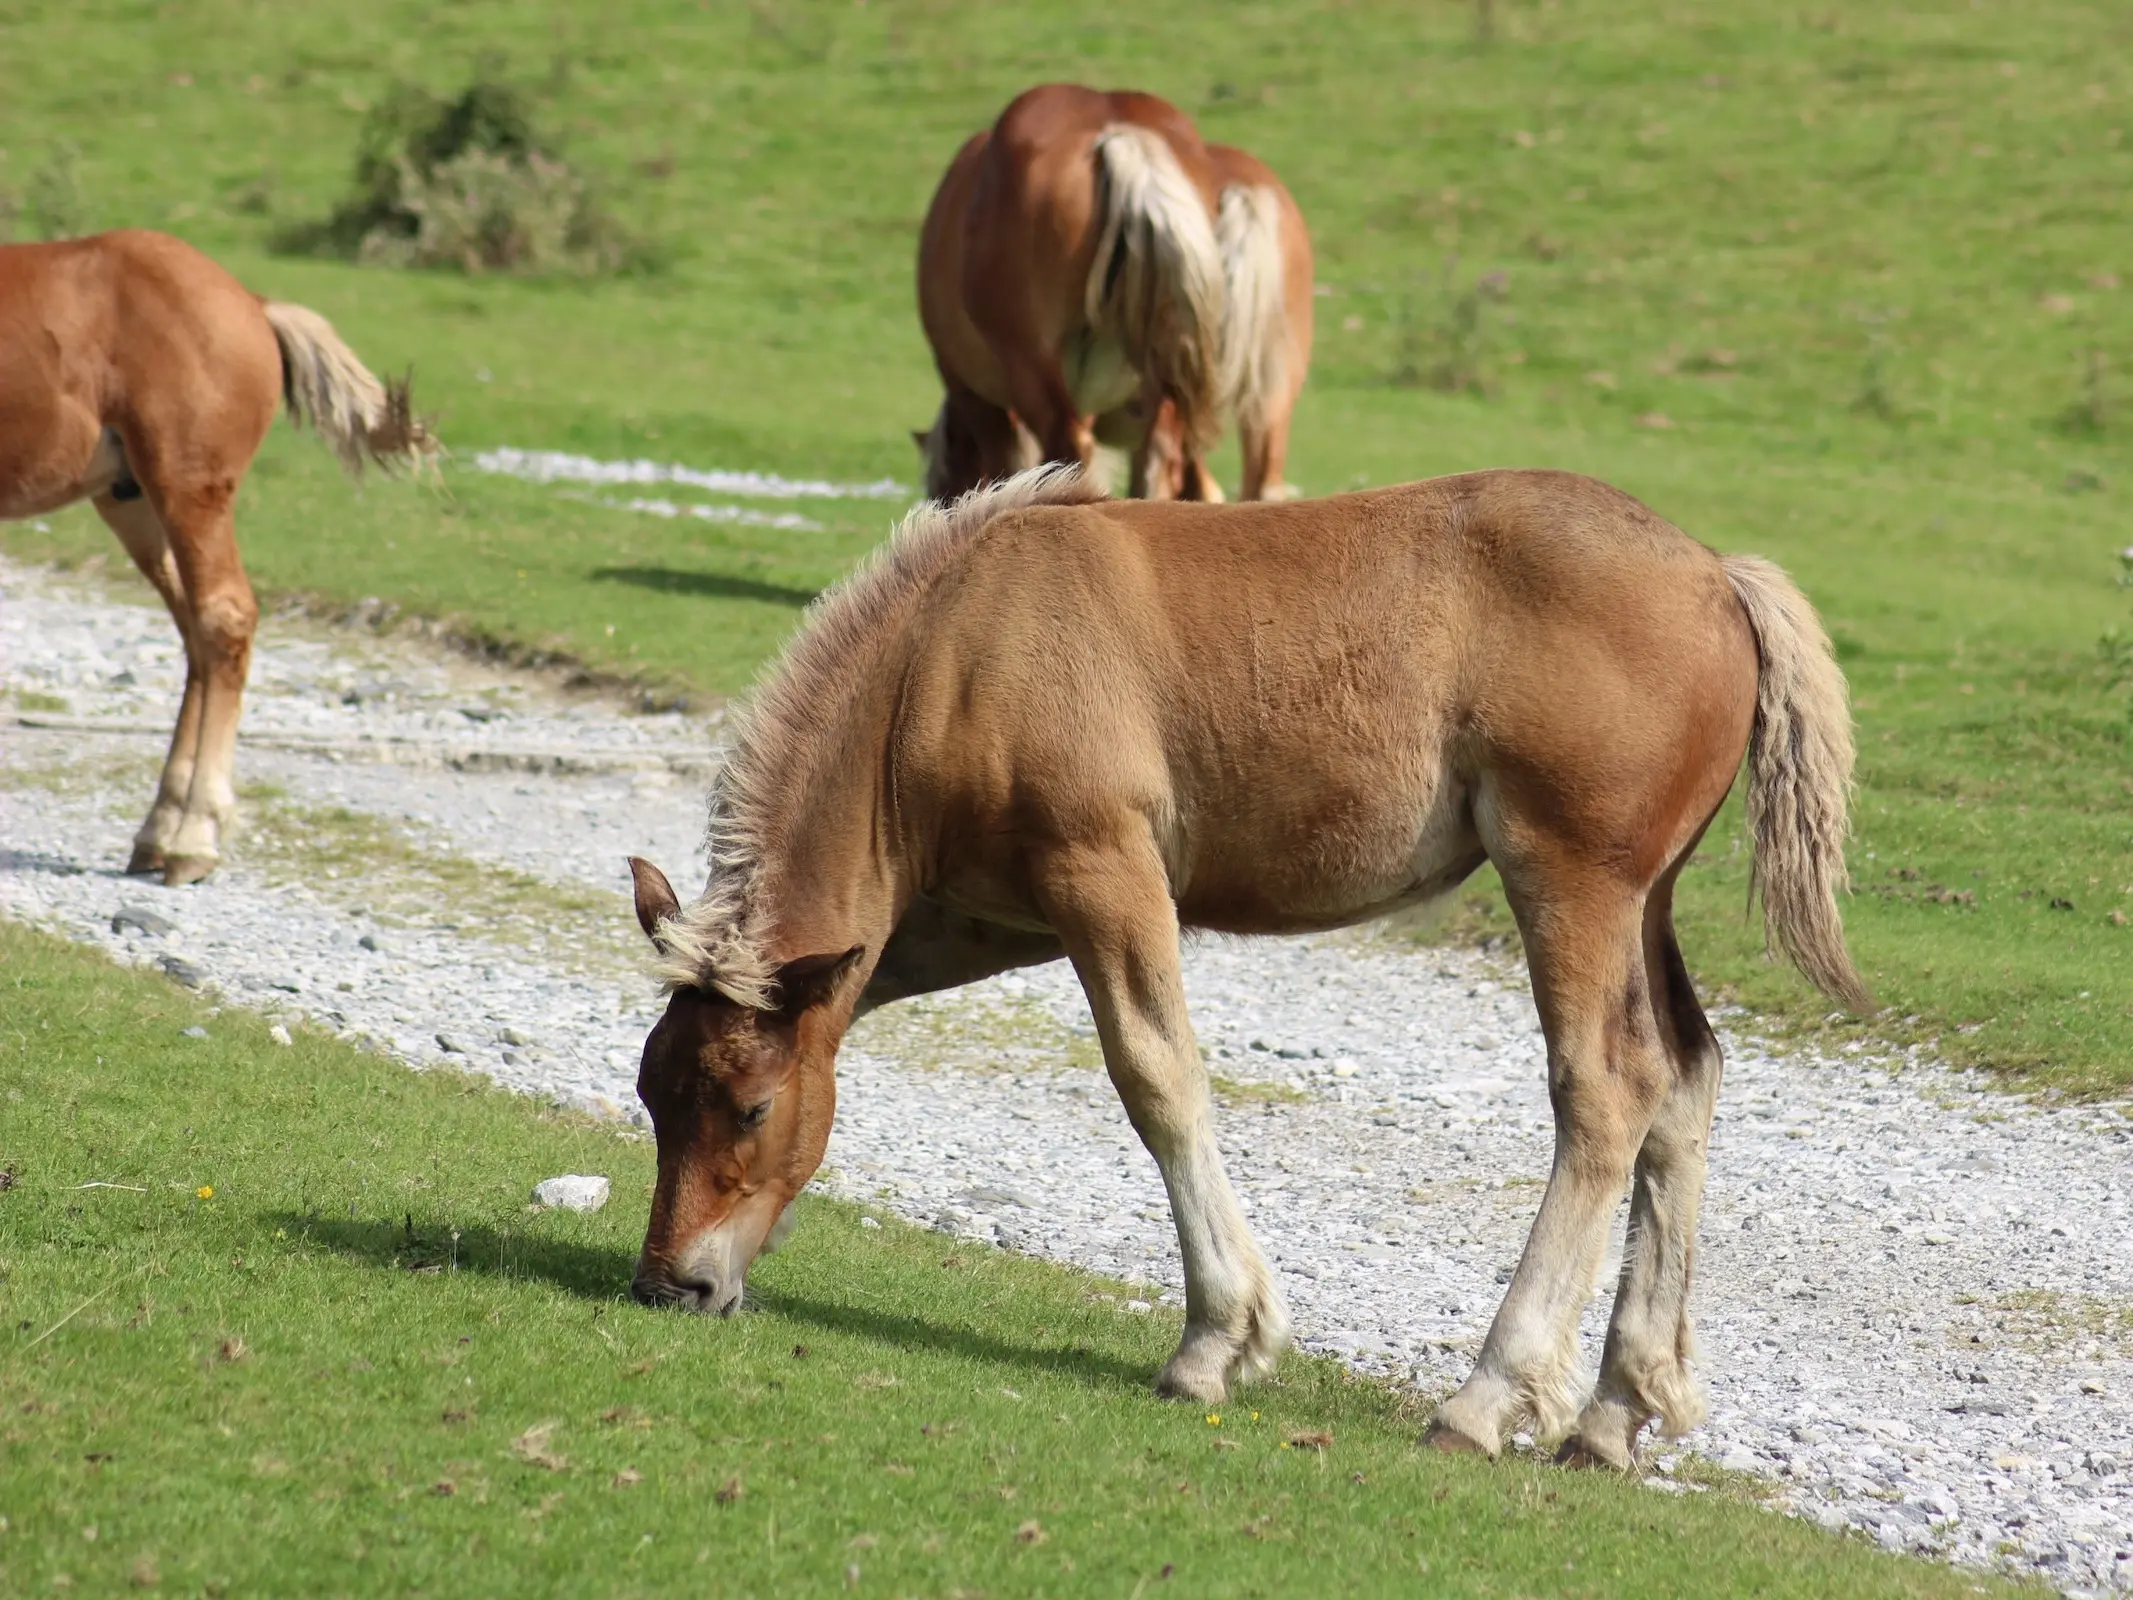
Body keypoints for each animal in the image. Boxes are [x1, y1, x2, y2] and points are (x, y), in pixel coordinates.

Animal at [0, 230, 432, 891]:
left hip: (186, 488)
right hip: (134, 503)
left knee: (222, 619)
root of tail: (252, 303)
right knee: (198, 637)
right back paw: (161, 830)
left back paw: (191, 838)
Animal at [622, 456, 1868, 1476]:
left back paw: (1486, 1395)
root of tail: (1716, 575)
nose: (669, 1284)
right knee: (1687, 1079)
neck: (949, 649)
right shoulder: (978, 917)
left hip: (1573, 882)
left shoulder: (1103, 872)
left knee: (1609, 1089)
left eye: (750, 1106)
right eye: (652, 1097)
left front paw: (1214, 1341)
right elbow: (862, 999)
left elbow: (1159, 1078)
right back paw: (1616, 1409)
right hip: (1646, 900)